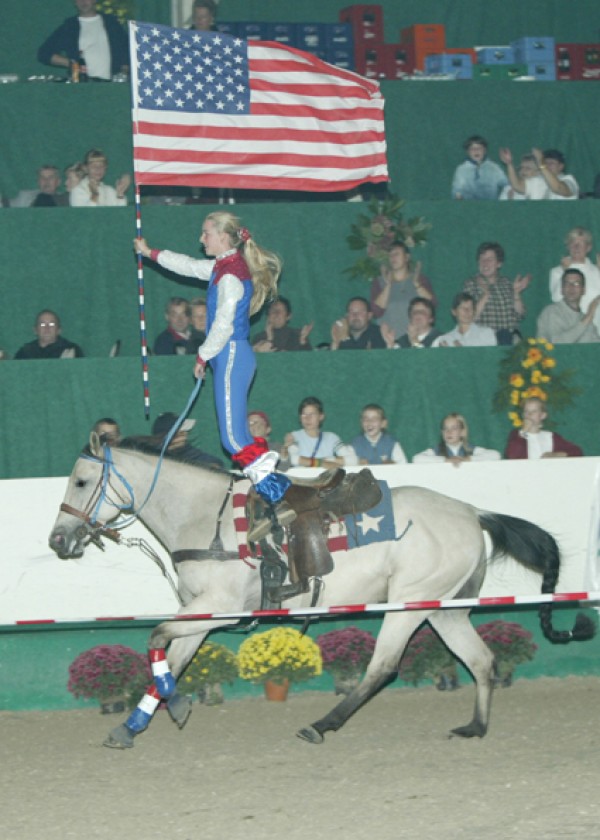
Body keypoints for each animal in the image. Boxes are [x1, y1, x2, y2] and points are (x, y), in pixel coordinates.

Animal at [49, 434, 592, 748]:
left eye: (81, 482)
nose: (58, 540)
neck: (208, 520)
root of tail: (471, 511)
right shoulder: (201, 614)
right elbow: (172, 657)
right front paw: (132, 726)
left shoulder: (217, 609)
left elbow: (156, 638)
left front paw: (174, 706)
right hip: (444, 608)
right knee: (480, 660)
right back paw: (475, 727)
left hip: (409, 604)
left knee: (383, 667)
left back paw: (322, 724)